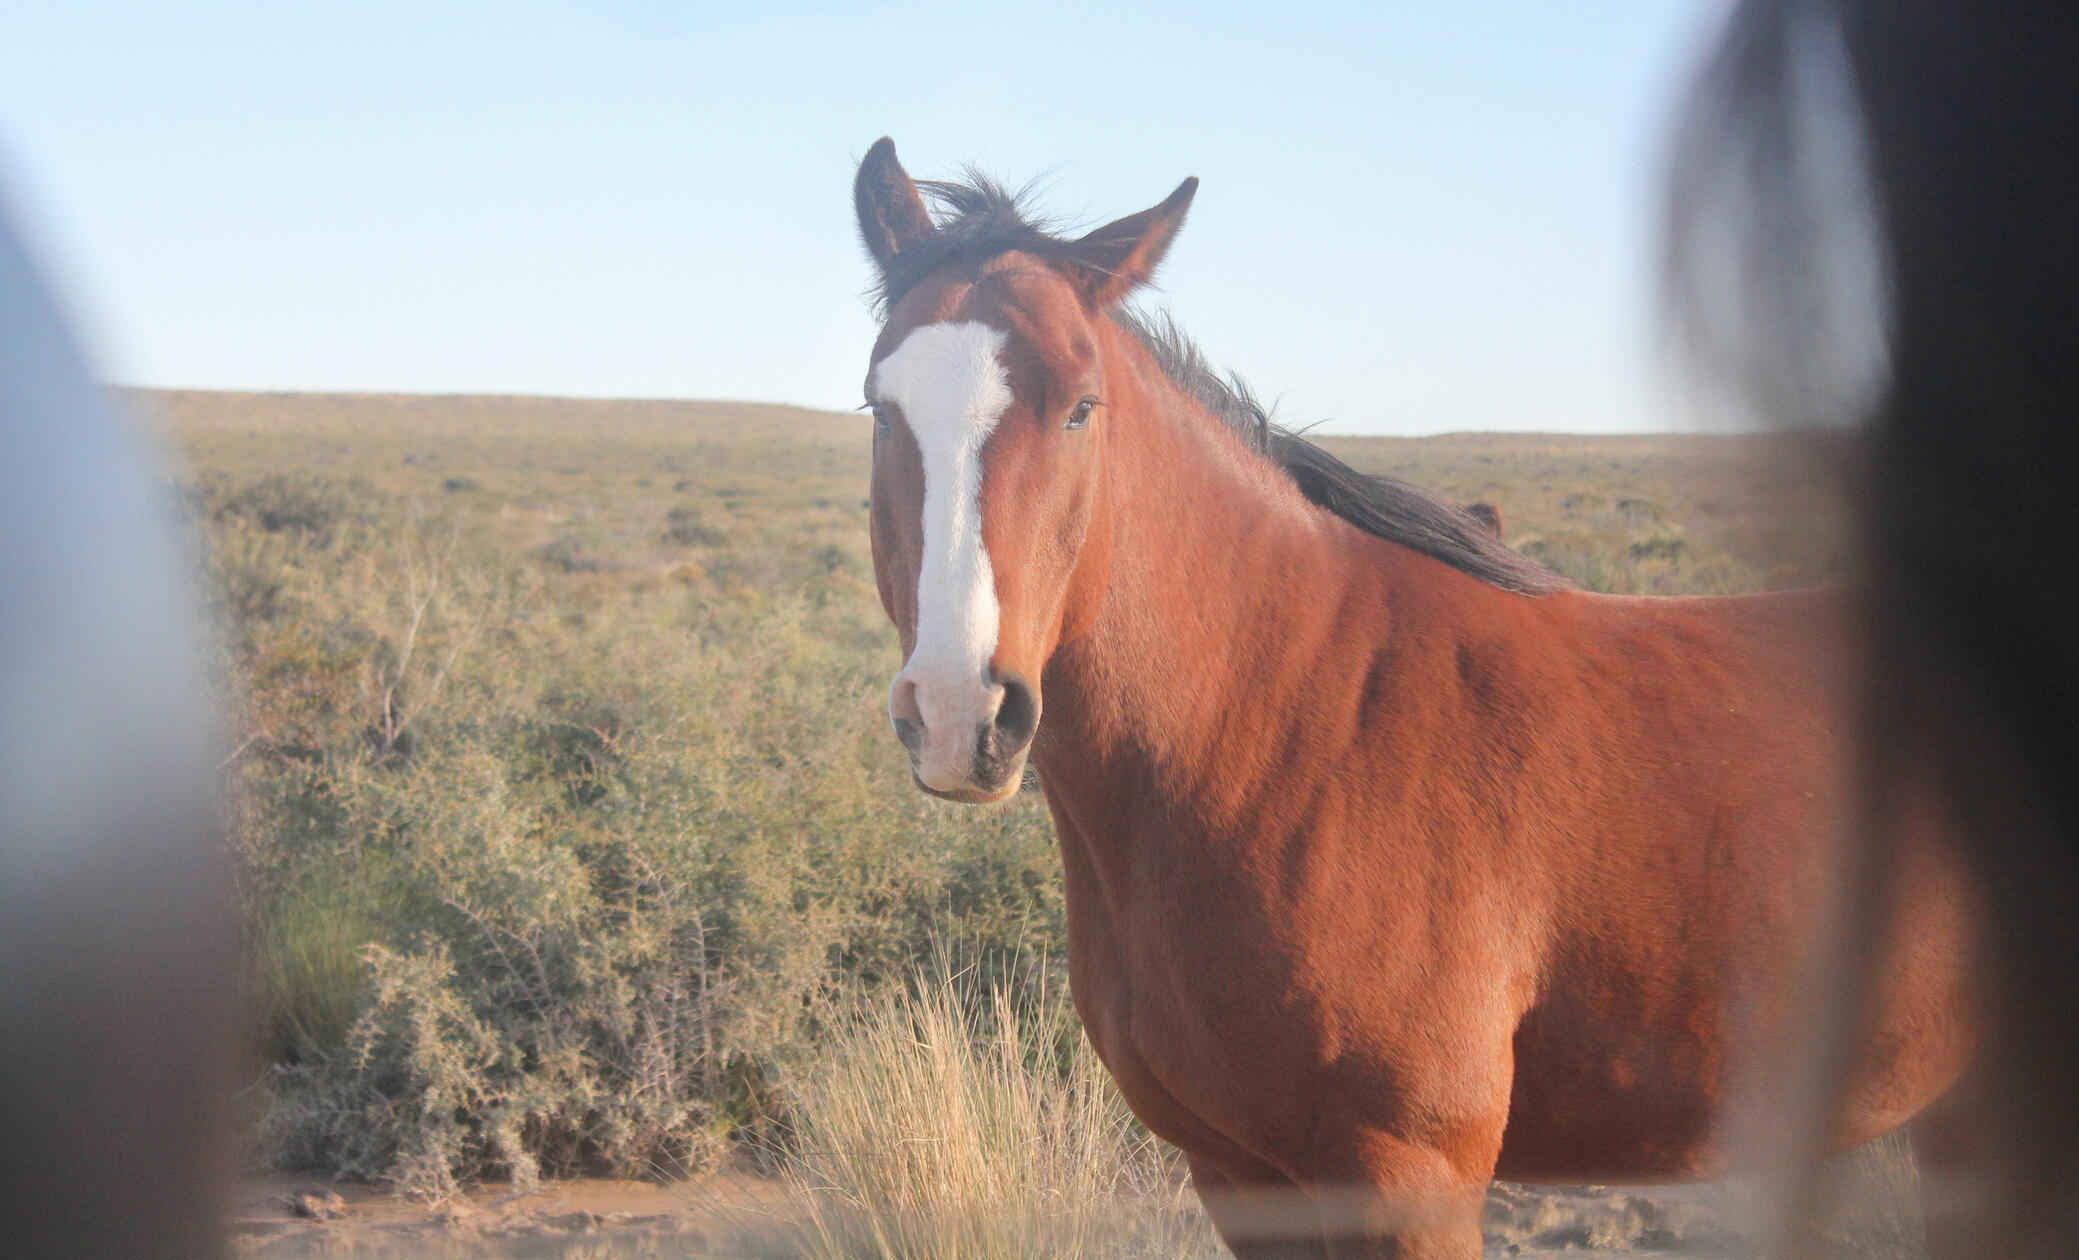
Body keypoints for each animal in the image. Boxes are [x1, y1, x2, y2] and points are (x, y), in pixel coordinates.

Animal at [851, 139, 1973, 1258]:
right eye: (878, 406)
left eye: (1081, 406)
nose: (958, 713)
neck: (1281, 727)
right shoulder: (1238, 1178)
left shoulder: (1409, 1175)